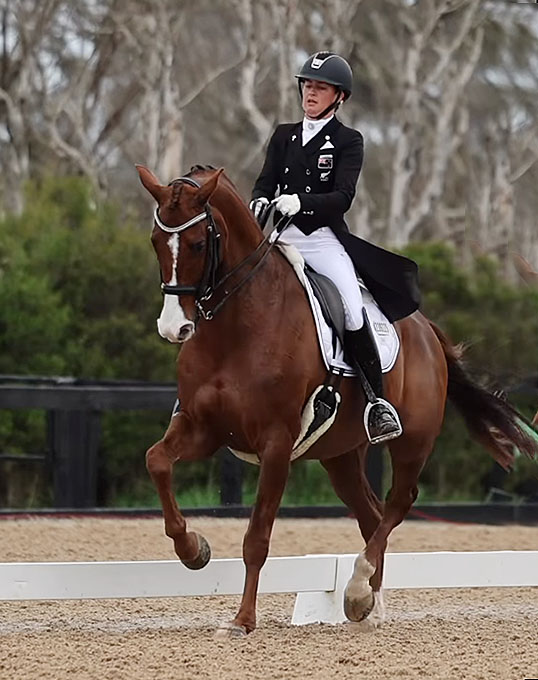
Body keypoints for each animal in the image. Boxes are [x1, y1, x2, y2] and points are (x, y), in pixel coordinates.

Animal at [135, 163, 536, 636]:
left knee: (399, 501)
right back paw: (366, 603)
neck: (236, 328)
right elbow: (157, 460)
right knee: (372, 513)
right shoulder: (203, 427)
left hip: (412, 441)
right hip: (339, 455)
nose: (173, 328)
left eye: (198, 243)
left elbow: (257, 537)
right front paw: (193, 549)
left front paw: (242, 619)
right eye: (155, 241)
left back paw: (360, 588)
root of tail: (425, 329)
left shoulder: (276, 443)